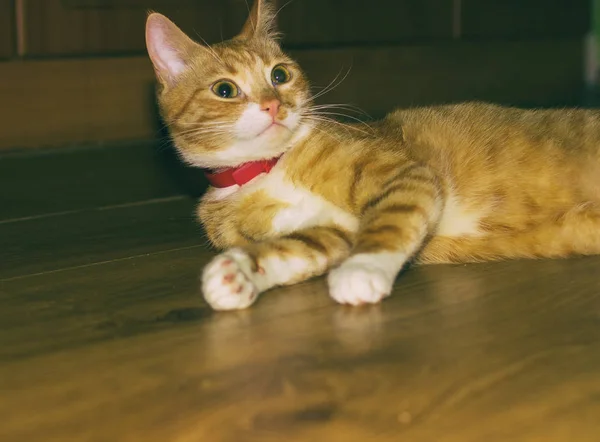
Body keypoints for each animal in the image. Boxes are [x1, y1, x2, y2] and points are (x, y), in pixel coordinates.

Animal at [144, 0, 600, 310]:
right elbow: (290, 249)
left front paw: (362, 270)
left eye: (279, 74)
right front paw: (240, 274)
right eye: (225, 89)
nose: (274, 105)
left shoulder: (404, 174)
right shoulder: (330, 233)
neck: (266, 171)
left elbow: (389, 222)